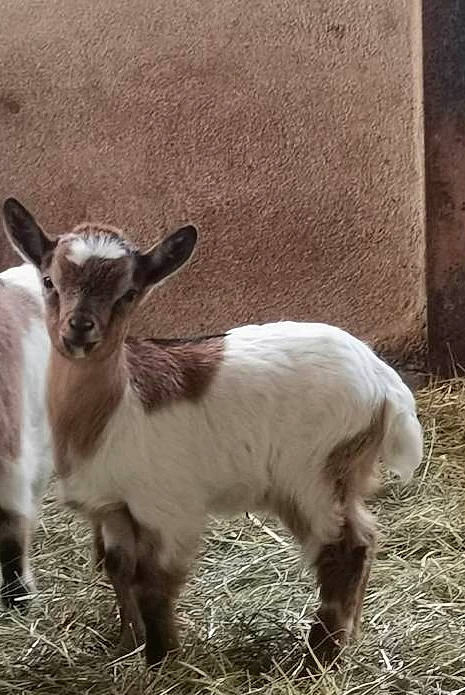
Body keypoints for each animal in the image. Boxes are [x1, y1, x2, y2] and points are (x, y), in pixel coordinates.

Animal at [2, 197, 423, 665]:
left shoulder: (166, 508)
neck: (114, 407)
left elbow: (153, 584)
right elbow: (118, 570)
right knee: (364, 539)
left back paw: (319, 657)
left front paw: (161, 658)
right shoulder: (114, 508)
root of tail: (384, 382)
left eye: (128, 293)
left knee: (345, 550)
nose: (79, 327)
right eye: (49, 281)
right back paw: (346, 640)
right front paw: (129, 645)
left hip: (316, 472)